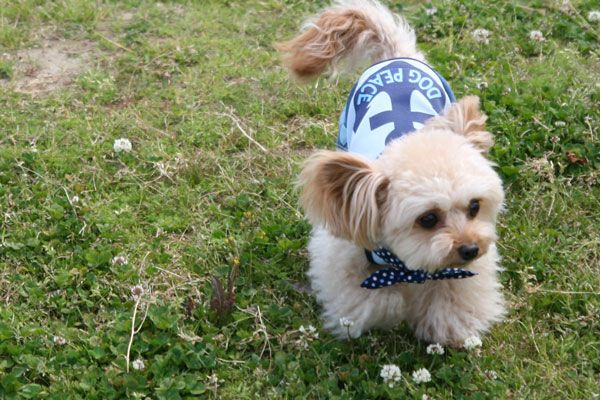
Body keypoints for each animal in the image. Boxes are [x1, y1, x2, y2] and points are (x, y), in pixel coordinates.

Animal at [277, 0, 506, 346]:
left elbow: (453, 293)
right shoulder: (345, 249)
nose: (470, 249)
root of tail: (396, 54)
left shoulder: (461, 269)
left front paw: (448, 327)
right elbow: (376, 299)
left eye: (475, 207)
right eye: (428, 219)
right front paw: (391, 308)